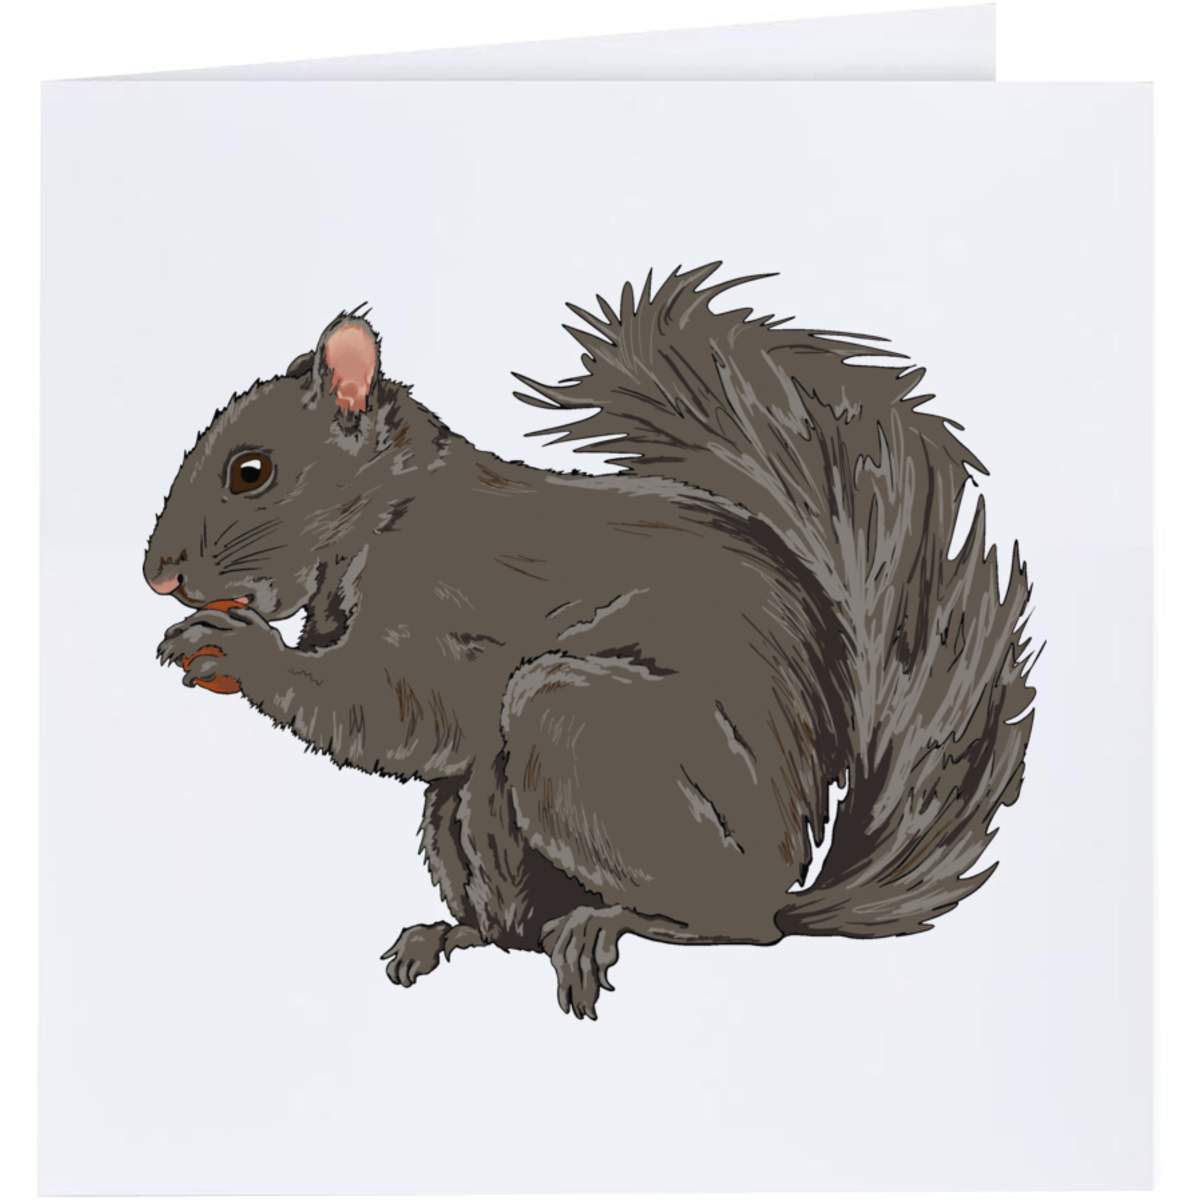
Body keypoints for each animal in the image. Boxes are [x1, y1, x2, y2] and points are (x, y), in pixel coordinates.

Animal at [145, 264, 1036, 1019]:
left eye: (251, 471)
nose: (158, 575)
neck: (385, 508)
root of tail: (782, 883)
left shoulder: (446, 602)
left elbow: (403, 711)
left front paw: (237, 650)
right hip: (462, 824)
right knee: (510, 926)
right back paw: (450, 934)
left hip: (579, 733)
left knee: (730, 924)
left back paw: (609, 925)